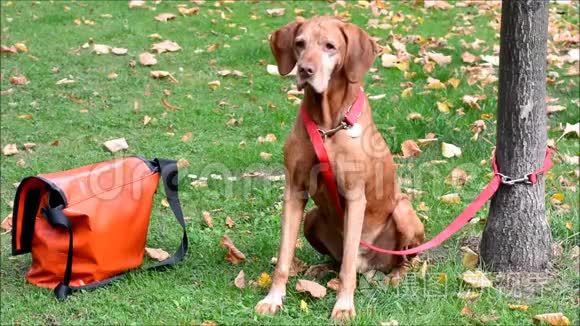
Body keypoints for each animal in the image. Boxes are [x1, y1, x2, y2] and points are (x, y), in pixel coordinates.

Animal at [256, 16, 424, 320]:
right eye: (300, 44)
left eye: (330, 46)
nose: (305, 70)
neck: (327, 125)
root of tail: (370, 266)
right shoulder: (294, 190)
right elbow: (284, 256)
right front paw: (273, 298)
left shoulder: (356, 196)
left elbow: (347, 268)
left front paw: (344, 306)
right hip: (312, 218)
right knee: (337, 258)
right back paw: (319, 268)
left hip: (403, 212)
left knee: (398, 260)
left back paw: (396, 276)